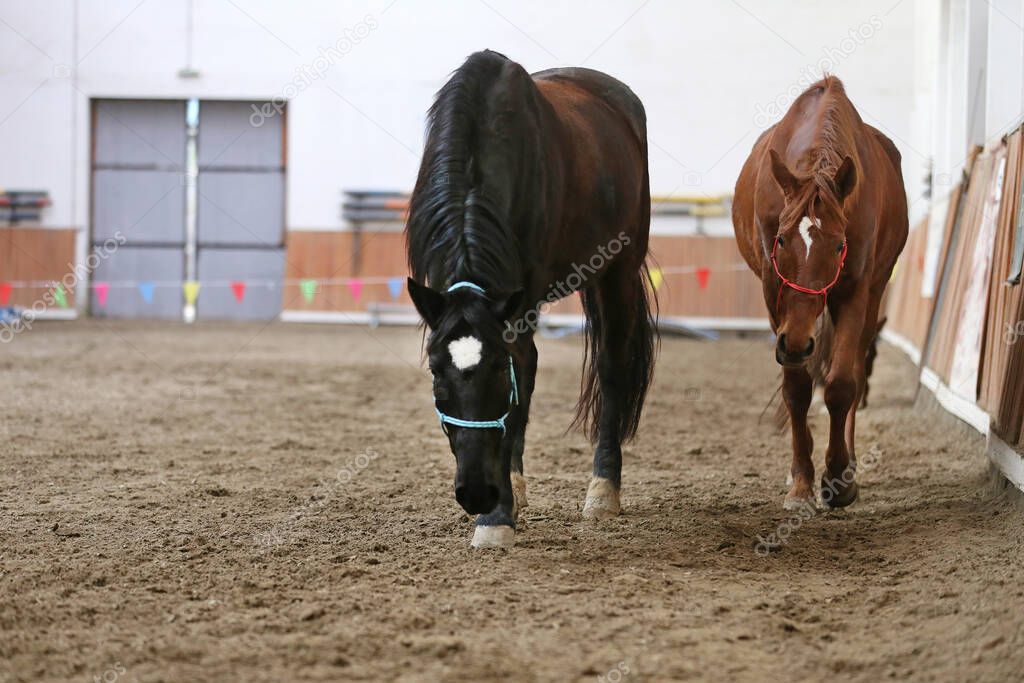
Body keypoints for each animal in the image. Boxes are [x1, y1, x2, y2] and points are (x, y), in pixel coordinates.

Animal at [733, 77, 909, 509]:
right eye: (780, 239)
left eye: (839, 245)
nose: (797, 342)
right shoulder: (774, 295)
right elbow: (796, 390)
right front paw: (801, 482)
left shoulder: (855, 290)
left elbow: (843, 384)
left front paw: (838, 478)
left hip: (873, 297)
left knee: (856, 371)